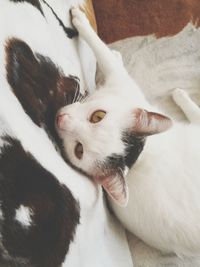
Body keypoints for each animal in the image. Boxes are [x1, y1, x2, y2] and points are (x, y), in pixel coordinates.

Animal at [55, 7, 200, 258]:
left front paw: (80, 20)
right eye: (79, 149)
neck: (140, 156)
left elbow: (100, 49)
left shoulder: (122, 83)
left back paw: (181, 95)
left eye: (98, 116)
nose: (61, 119)